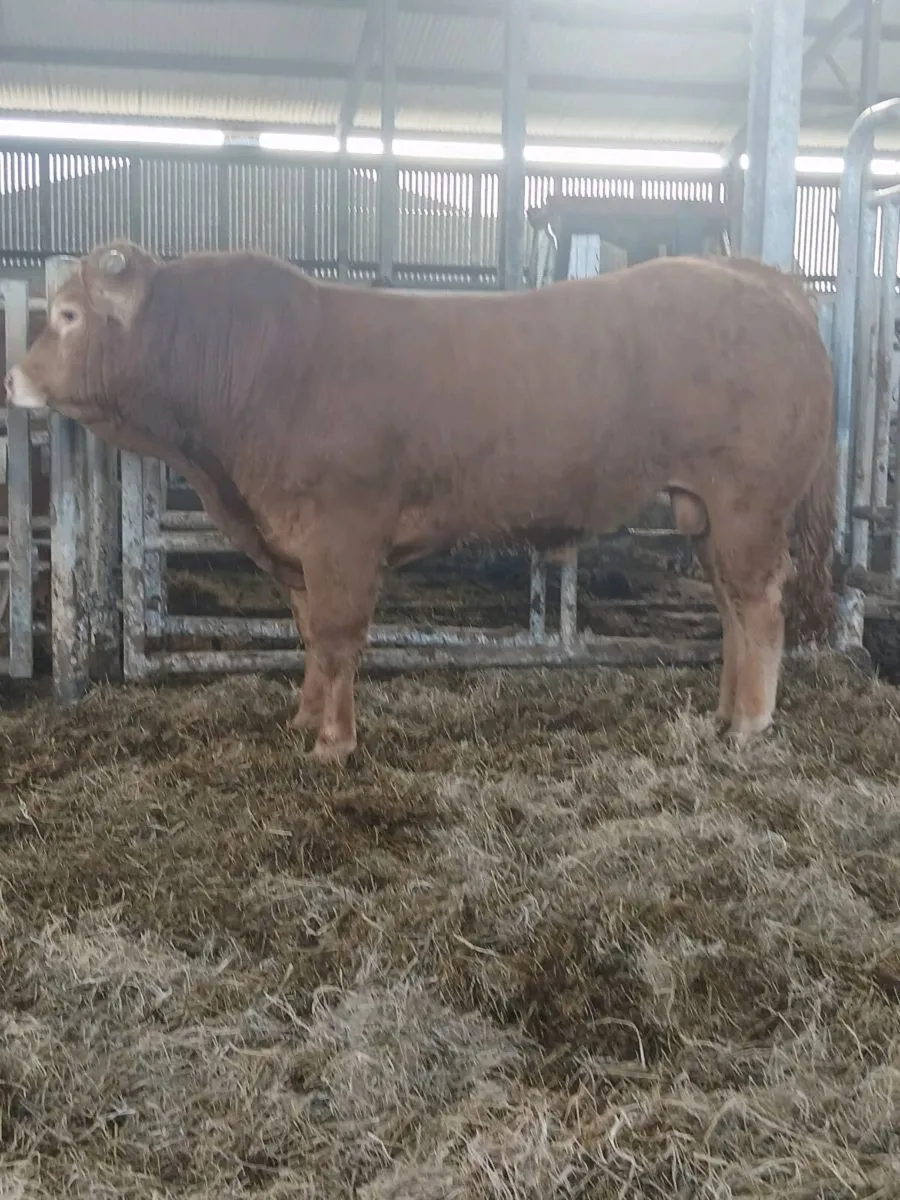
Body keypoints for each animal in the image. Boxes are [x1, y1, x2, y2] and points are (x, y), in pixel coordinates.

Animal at [5, 240, 835, 764]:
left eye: (69, 316)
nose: (13, 378)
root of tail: (767, 282)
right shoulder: (294, 545)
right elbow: (309, 634)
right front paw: (303, 715)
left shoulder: (342, 535)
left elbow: (339, 635)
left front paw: (333, 744)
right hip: (708, 513)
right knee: (732, 608)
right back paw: (723, 712)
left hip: (749, 504)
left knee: (759, 609)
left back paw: (750, 725)